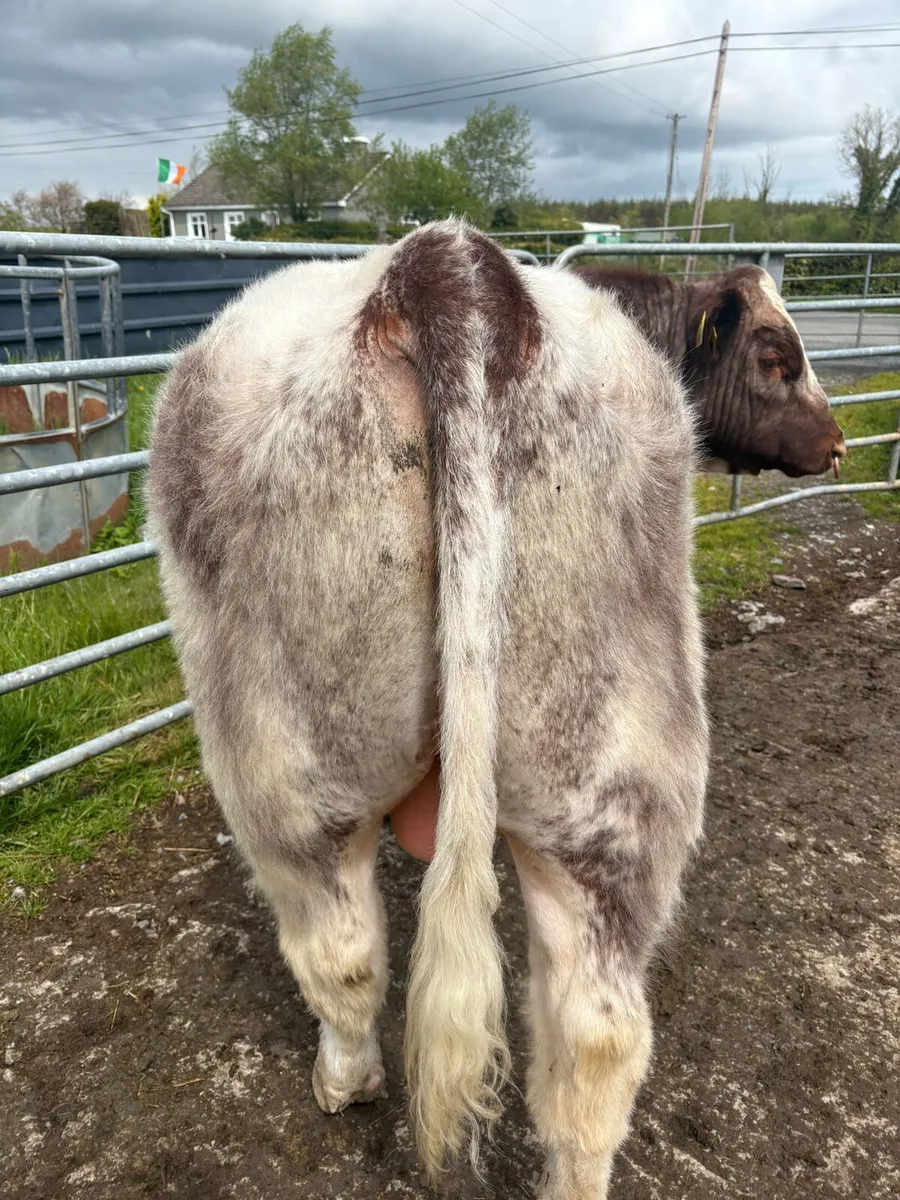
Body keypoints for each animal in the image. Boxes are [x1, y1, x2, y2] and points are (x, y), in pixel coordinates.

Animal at [146, 219, 709, 1199]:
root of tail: (451, 265)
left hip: (283, 758)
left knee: (339, 946)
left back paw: (344, 1079)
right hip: (615, 777)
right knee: (595, 1032)